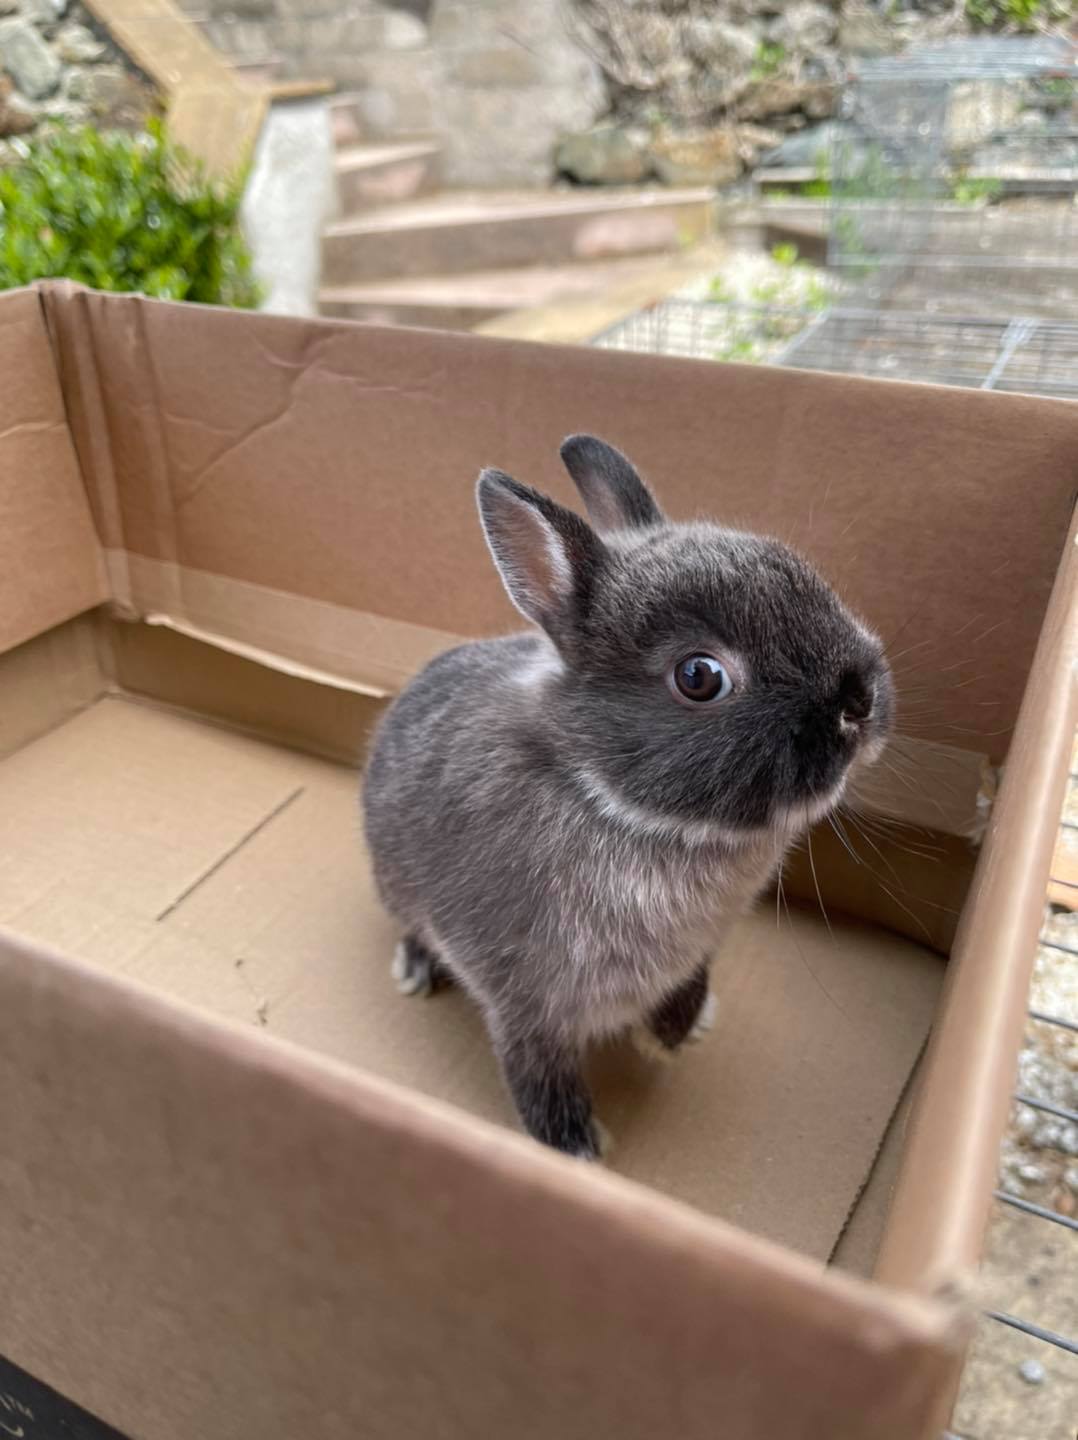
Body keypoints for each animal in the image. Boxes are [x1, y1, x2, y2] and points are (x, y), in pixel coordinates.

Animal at [362, 435, 893, 1160]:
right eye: (699, 676)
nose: (859, 702)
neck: (622, 808)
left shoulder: (697, 952)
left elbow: (685, 988)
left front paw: (673, 1035)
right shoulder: (520, 998)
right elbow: (534, 1068)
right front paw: (575, 1147)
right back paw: (414, 972)